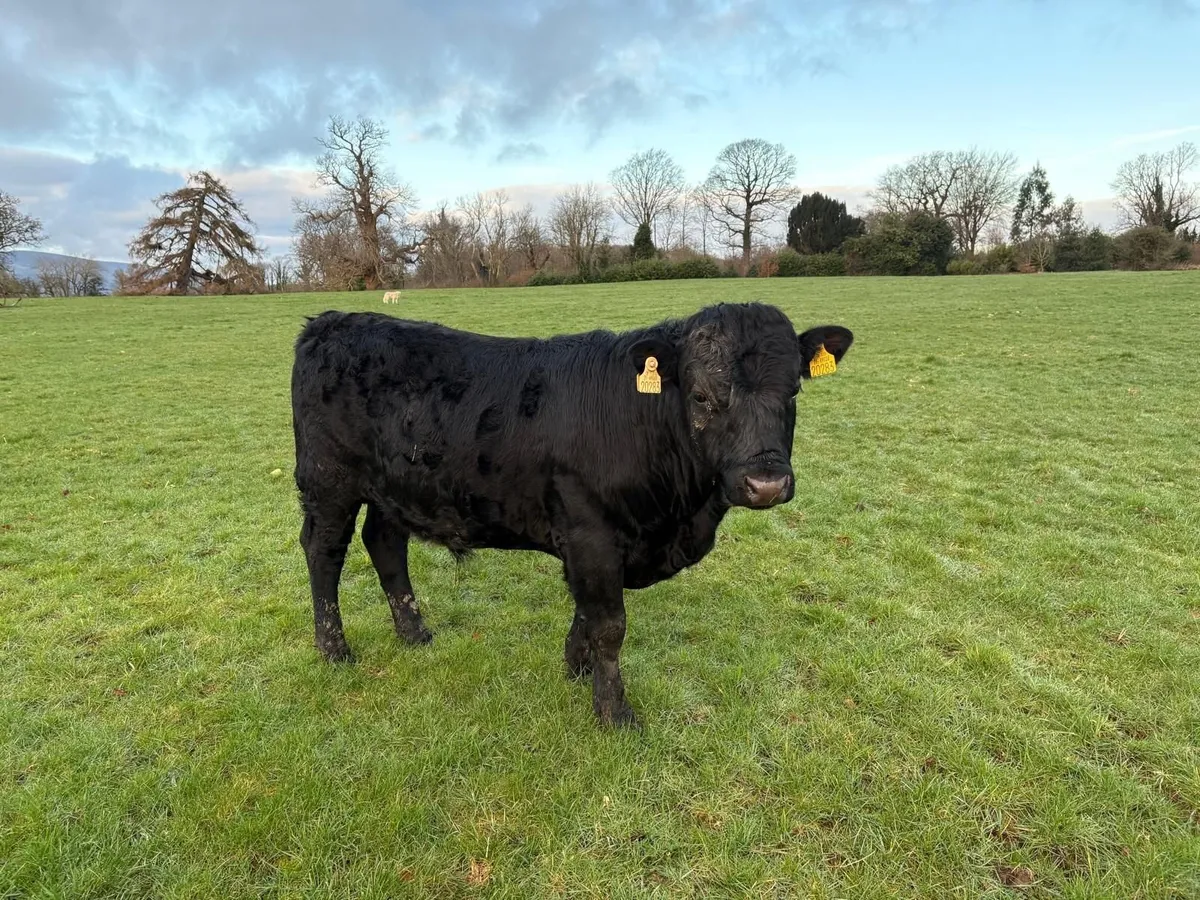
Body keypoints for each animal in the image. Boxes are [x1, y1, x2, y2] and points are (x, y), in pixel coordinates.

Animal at [291, 302, 853, 728]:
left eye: (794, 391)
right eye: (701, 396)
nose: (766, 484)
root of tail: (330, 321)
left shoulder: (598, 544)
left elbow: (587, 610)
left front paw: (576, 666)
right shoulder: (591, 534)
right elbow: (610, 625)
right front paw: (613, 711)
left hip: (395, 487)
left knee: (385, 543)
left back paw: (414, 633)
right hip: (328, 480)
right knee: (325, 552)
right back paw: (334, 649)